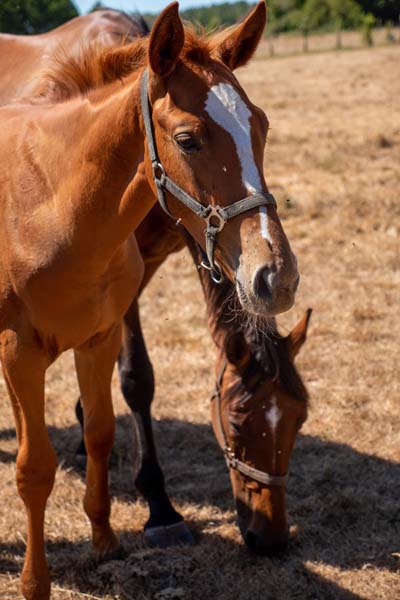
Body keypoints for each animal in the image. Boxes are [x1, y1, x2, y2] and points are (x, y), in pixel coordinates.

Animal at [0, 3, 300, 596]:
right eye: (186, 139)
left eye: (261, 124)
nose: (275, 276)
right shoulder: (19, 350)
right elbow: (39, 462)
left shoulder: (110, 315)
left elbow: (103, 422)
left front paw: (109, 530)